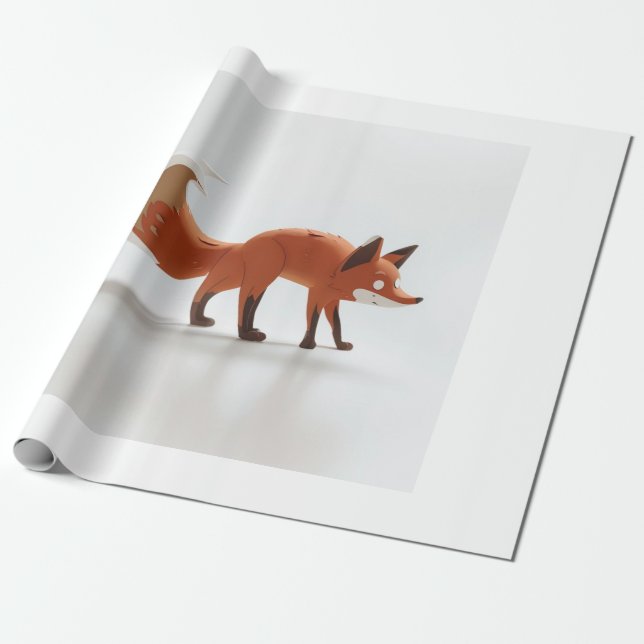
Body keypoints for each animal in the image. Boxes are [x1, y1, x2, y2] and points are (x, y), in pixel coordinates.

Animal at [133, 157, 423, 350]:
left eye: (399, 284)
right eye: (381, 284)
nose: (417, 299)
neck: (339, 269)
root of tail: (243, 244)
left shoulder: (332, 300)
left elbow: (336, 325)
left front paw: (340, 345)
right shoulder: (317, 293)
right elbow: (313, 321)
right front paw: (307, 345)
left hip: (249, 279)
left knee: (218, 294)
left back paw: (207, 322)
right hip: (257, 276)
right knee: (225, 298)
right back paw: (241, 334)